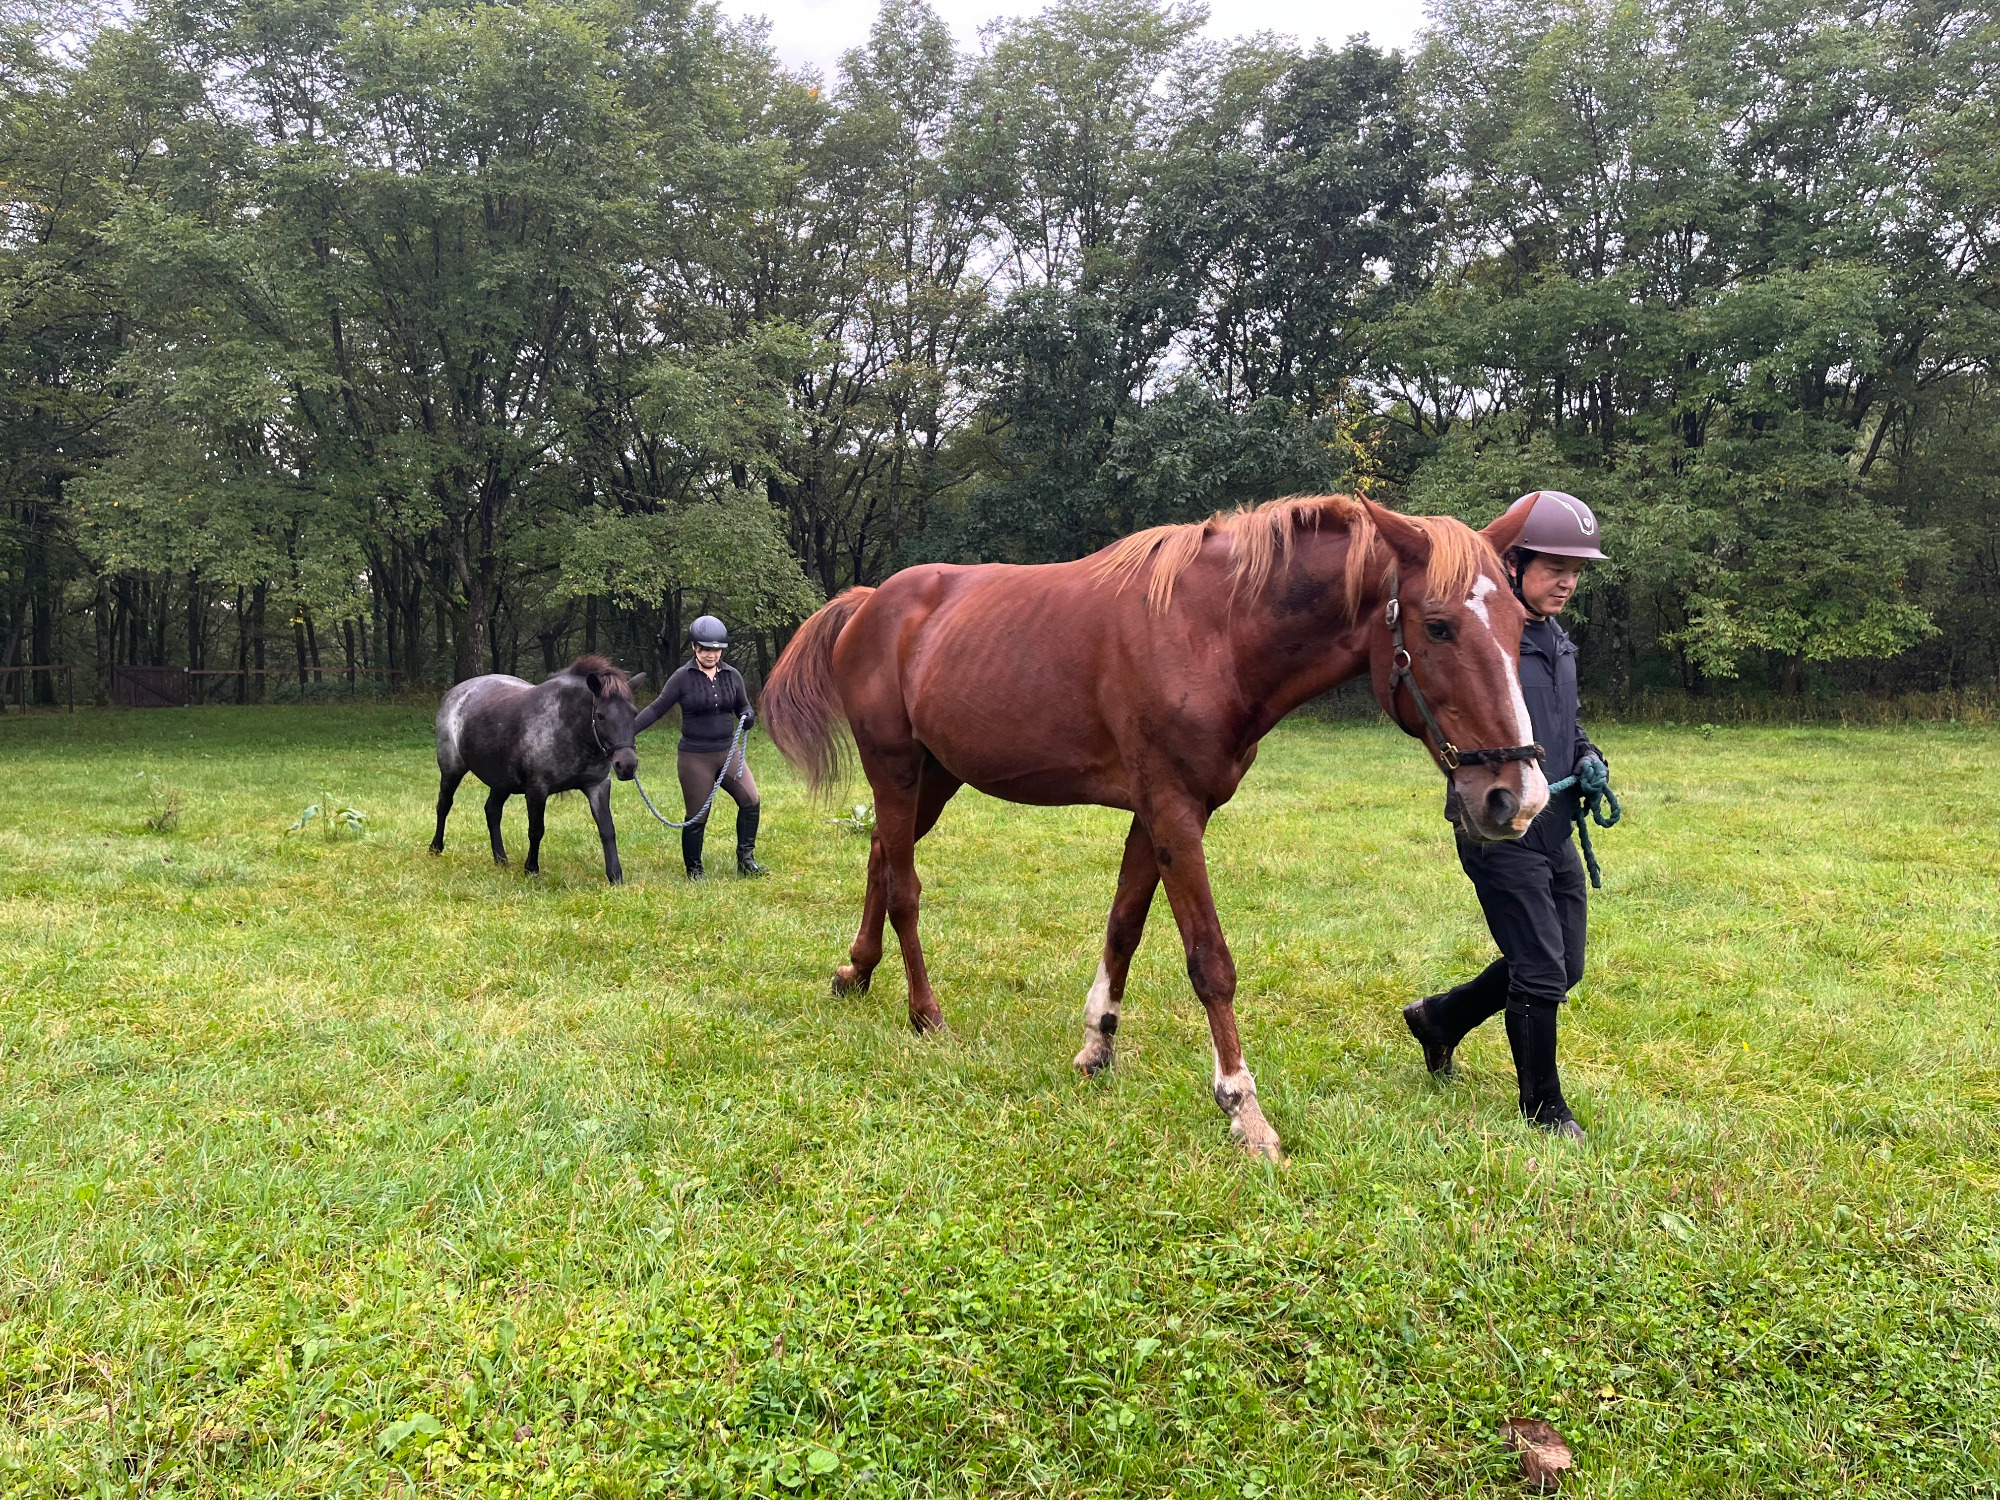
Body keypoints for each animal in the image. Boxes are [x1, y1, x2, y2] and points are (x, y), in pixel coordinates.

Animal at [432, 656, 644, 880]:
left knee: (492, 811)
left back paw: (501, 859)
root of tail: (455, 693)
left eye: (634, 713)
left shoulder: (598, 785)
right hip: (451, 770)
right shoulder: (537, 790)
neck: (567, 726)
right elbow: (536, 830)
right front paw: (531, 869)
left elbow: (607, 828)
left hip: (501, 782)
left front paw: (615, 876)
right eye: (601, 715)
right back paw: (435, 848)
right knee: (444, 805)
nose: (627, 765)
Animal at [764, 500, 1544, 1160]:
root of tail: (872, 602)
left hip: (935, 776)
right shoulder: (1173, 811)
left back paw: (856, 971)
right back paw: (923, 1013)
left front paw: (1096, 1048)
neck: (1212, 630)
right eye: (1438, 625)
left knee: (880, 857)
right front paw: (1243, 1109)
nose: (1518, 798)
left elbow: (1124, 929)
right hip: (895, 768)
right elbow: (1210, 962)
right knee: (905, 887)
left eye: (1518, 624)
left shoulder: (1156, 815)